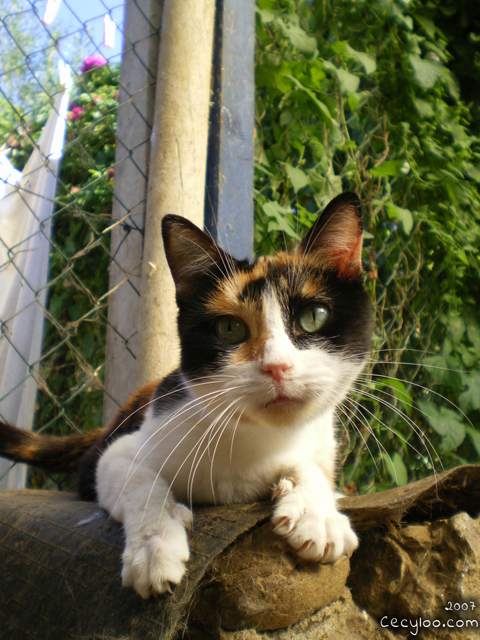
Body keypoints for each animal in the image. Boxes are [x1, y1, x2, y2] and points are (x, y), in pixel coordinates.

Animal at [0, 192, 372, 596]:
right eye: (229, 329)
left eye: (313, 317)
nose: (278, 367)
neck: (260, 440)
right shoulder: (117, 452)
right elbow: (137, 482)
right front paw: (155, 549)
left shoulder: (319, 444)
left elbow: (315, 468)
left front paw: (317, 512)